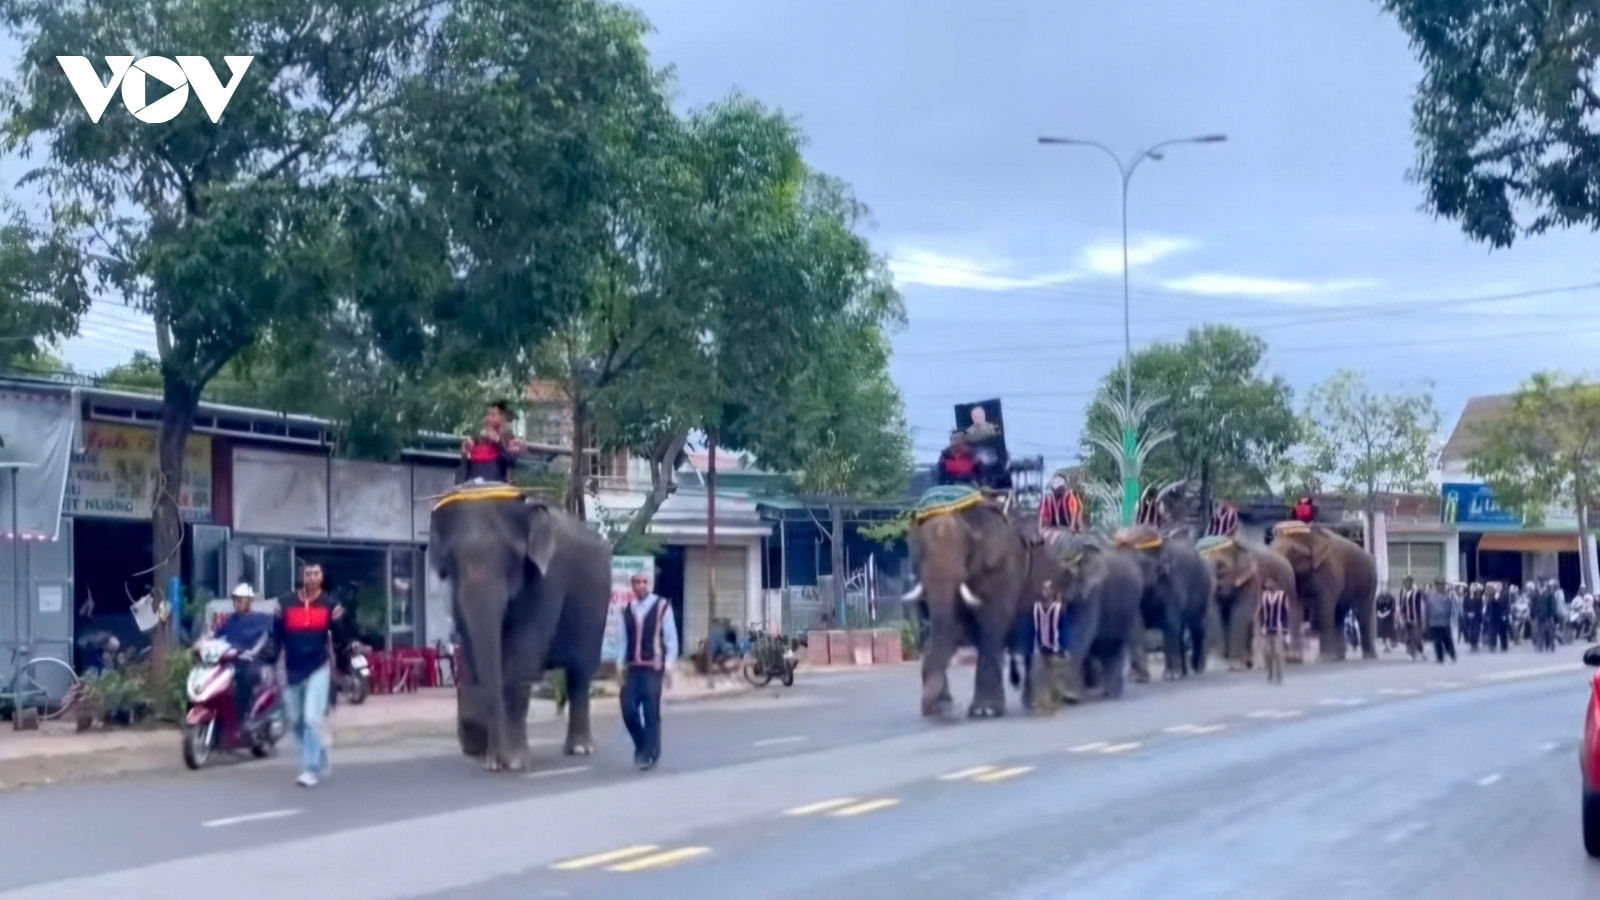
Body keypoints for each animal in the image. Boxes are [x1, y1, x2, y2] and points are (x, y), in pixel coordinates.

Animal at [425, 486, 611, 768]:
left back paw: (580, 749)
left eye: (512, 556)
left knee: (580, 671)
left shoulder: (547, 580)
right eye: (452, 559)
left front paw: (512, 762)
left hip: (597, 603)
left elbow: (522, 656)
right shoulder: (456, 593)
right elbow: (474, 654)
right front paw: (494, 761)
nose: (496, 757)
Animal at [908, 496, 1030, 714]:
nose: (940, 707)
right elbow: (951, 626)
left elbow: (993, 622)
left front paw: (986, 711)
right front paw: (942, 704)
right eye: (920, 550)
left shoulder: (1003, 565)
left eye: (970, 544)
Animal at [1113, 522, 1209, 675]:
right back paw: (1184, 671)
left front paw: (1171, 675)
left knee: (1197, 625)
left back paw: (1196, 667)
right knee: (1182, 629)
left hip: (1203, 586)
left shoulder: (1171, 585)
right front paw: (1137, 675)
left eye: (1140, 563)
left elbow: (1169, 624)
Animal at [1203, 531, 1299, 666]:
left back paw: (1290, 658)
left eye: (1222, 567)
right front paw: (1221, 661)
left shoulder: (1252, 579)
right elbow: (1216, 614)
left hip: (1287, 582)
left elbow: (1241, 614)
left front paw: (1235, 663)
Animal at [1267, 518, 1382, 659]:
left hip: (1369, 578)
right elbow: (1294, 608)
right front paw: (1293, 659)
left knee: (1362, 613)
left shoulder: (1329, 572)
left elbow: (1324, 607)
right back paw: (1339, 657)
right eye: (1270, 548)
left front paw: (1323, 658)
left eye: (1294, 552)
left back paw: (1368, 656)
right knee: (1339, 614)